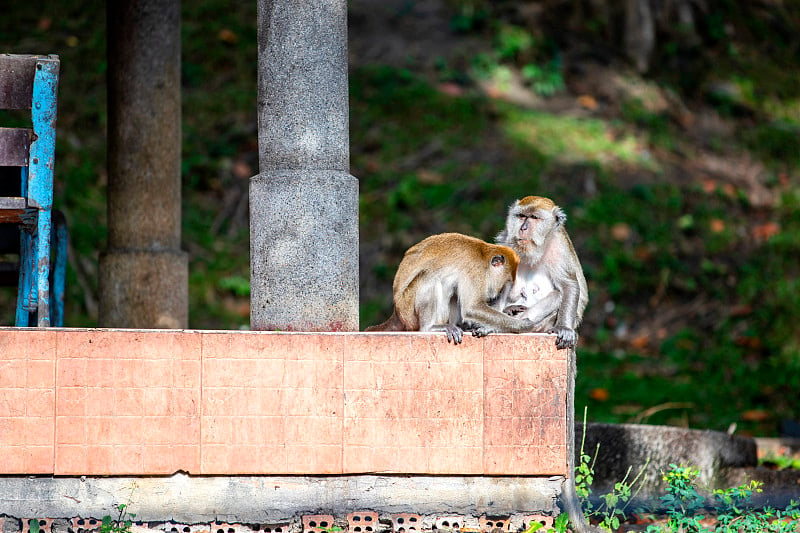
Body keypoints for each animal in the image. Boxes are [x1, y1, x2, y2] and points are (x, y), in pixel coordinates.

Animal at [368, 232, 540, 340]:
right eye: (503, 285)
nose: (496, 296)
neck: (483, 255)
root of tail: (397, 312)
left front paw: (504, 314)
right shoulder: (475, 270)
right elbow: (472, 308)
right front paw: (522, 325)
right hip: (408, 309)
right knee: (429, 278)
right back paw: (429, 328)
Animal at [494, 194, 588, 350]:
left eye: (534, 217)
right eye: (521, 216)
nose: (523, 228)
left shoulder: (559, 248)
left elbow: (569, 285)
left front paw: (564, 328)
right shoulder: (505, 244)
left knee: (556, 295)